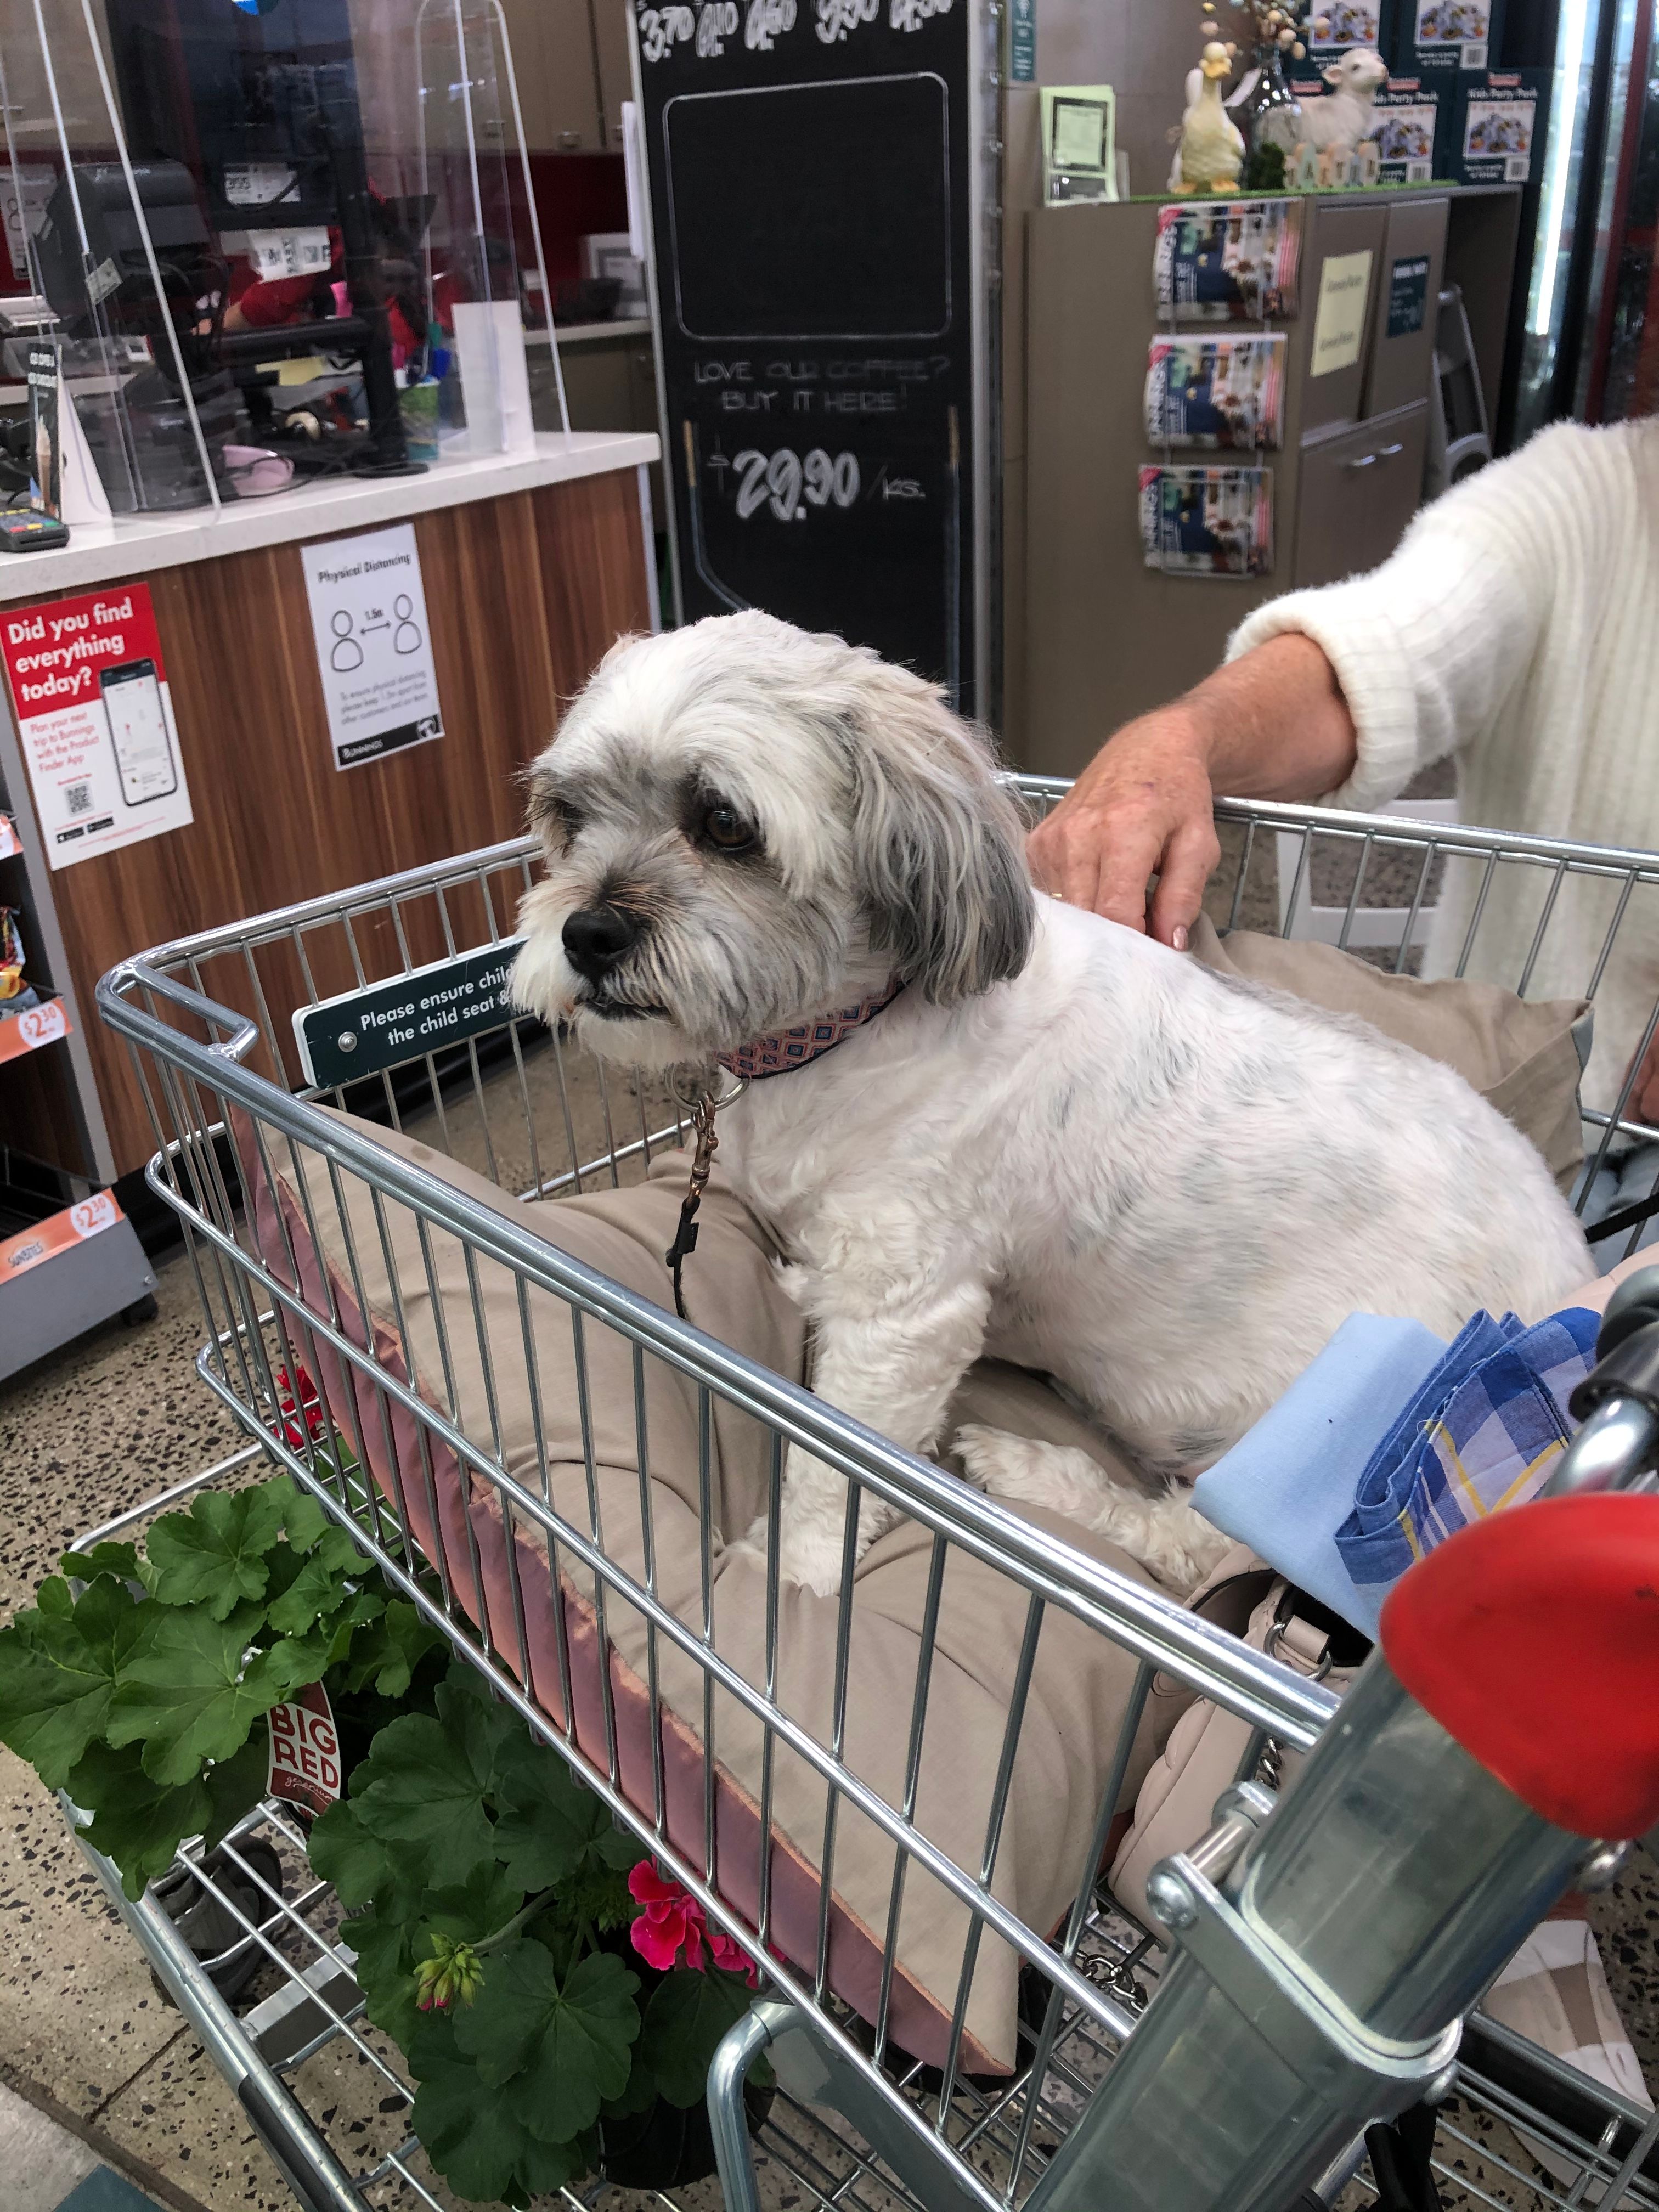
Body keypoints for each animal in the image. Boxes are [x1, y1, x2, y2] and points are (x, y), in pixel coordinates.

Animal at [511, 614, 1601, 1601]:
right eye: (568, 815)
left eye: (724, 824)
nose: (588, 931)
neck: (853, 1028)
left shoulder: (905, 1312)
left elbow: (836, 1462)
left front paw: (797, 1566)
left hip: (1337, 1442)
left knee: (1195, 1543)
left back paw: (1036, 1473)